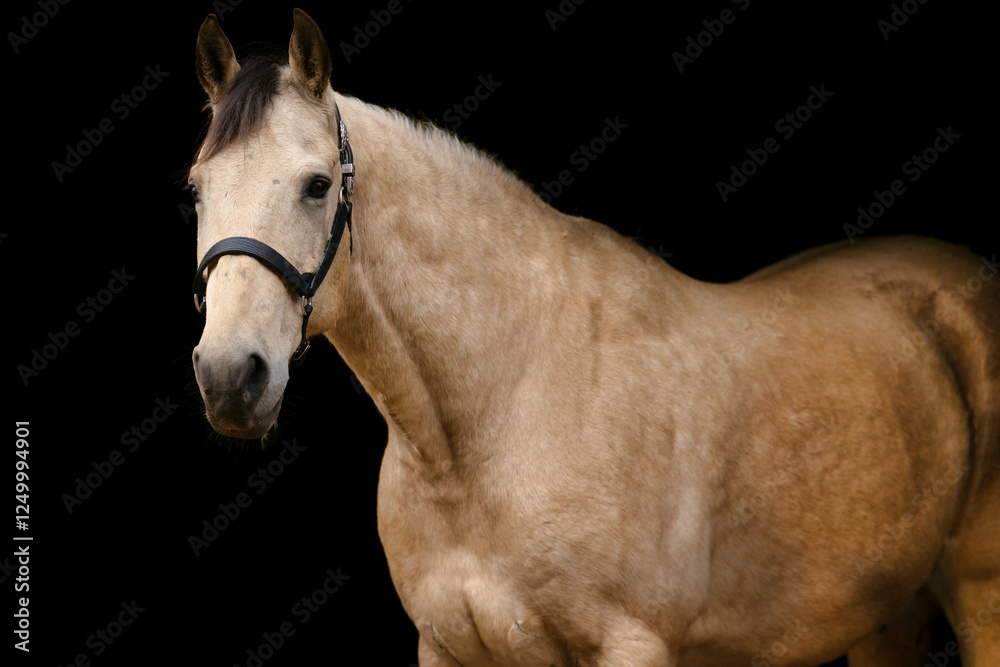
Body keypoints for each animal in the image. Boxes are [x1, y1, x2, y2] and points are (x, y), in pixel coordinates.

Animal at [187, 9, 1000, 666]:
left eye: (317, 184)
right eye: (196, 189)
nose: (230, 376)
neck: (497, 417)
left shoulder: (631, 644)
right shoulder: (447, 648)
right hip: (886, 617)